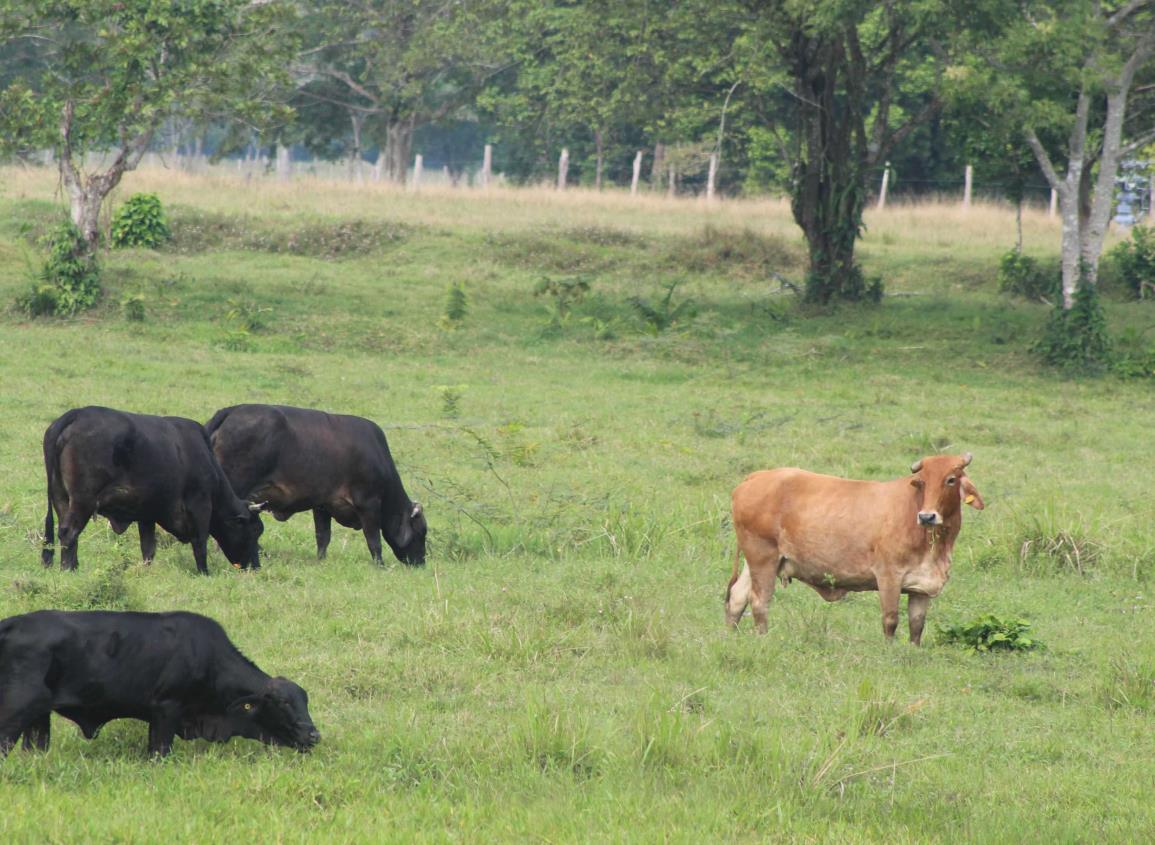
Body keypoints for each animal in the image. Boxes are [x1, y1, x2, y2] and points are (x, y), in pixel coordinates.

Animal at [0, 609, 321, 757]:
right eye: (283, 703)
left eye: (306, 701)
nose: (313, 735)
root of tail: (13, 622)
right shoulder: (166, 710)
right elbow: (159, 751)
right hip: (21, 705)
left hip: (39, 715)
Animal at [41, 404, 264, 574]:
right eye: (255, 530)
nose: (256, 567)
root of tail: (75, 414)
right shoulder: (200, 505)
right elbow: (200, 543)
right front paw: (204, 573)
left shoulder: (146, 513)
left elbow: (148, 549)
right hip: (82, 501)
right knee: (69, 532)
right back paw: (68, 569)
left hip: (61, 497)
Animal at [205, 404, 427, 563]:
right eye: (422, 532)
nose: (421, 562)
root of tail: (232, 411)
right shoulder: (368, 503)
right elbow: (373, 539)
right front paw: (379, 564)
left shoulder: (322, 505)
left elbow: (323, 537)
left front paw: (321, 560)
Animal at [720, 452, 984, 641]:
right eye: (921, 482)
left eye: (951, 480)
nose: (927, 516)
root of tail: (756, 477)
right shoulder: (889, 576)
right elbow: (890, 620)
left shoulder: (921, 587)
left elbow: (916, 626)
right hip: (762, 557)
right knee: (759, 602)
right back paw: (763, 639)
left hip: (757, 560)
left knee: (737, 597)